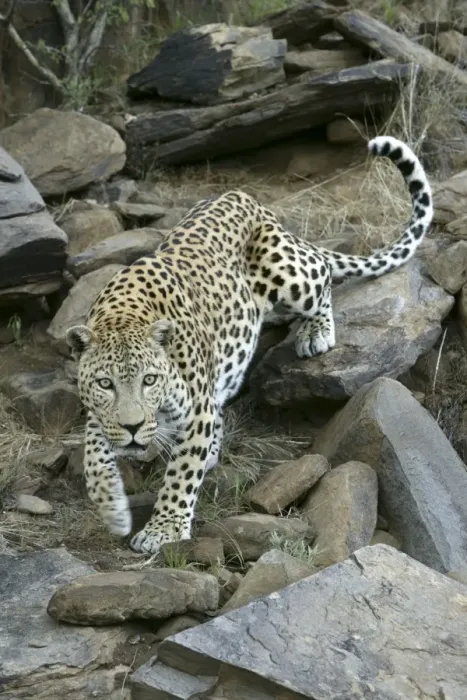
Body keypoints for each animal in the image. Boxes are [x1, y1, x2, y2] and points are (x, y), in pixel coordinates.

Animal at [66, 136, 433, 554]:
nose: (132, 427)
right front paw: (113, 508)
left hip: (288, 272)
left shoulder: (195, 409)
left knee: (322, 273)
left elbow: (180, 475)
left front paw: (164, 528)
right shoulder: (101, 414)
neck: (122, 316)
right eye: (105, 384)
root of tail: (245, 198)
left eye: (149, 380)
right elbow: (94, 454)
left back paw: (315, 333)